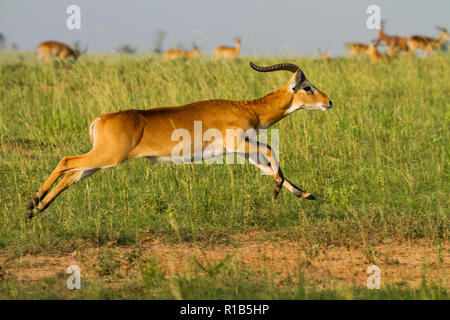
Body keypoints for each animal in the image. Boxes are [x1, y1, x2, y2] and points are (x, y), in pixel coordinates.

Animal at [27, 61, 330, 219]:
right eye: (307, 87)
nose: (329, 102)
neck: (248, 108)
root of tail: (101, 118)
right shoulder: (238, 144)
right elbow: (270, 151)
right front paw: (279, 191)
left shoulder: (241, 151)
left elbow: (268, 168)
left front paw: (307, 194)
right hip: (108, 157)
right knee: (66, 160)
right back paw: (34, 201)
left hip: (99, 163)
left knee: (71, 175)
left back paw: (36, 209)